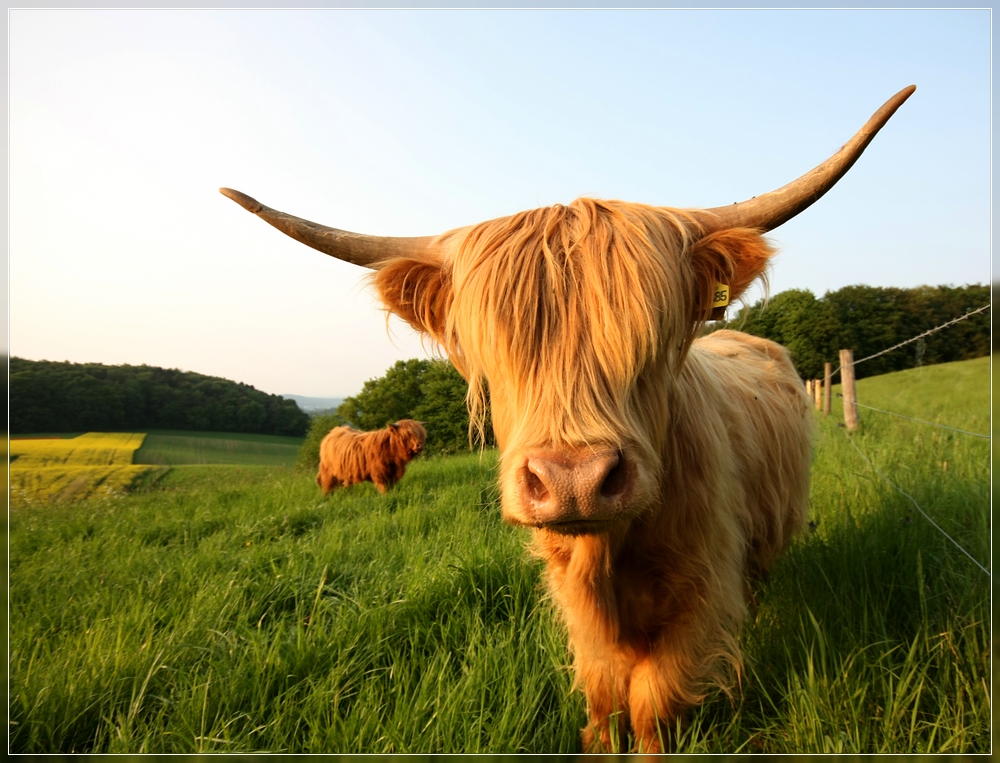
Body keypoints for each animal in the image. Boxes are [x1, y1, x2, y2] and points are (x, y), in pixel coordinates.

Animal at [223, 85, 916, 752]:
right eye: (496, 352)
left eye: (652, 339)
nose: (574, 482)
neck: (611, 557)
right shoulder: (573, 596)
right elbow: (605, 691)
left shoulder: (701, 586)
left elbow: (652, 701)